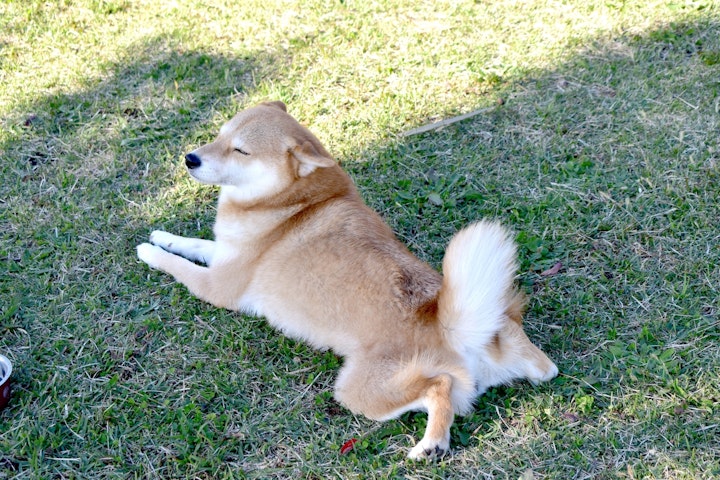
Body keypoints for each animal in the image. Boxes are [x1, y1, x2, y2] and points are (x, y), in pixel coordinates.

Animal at [138, 102, 560, 462]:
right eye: (219, 135)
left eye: (240, 151)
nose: (190, 158)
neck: (293, 202)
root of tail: (452, 327)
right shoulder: (225, 256)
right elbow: (193, 244)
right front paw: (163, 236)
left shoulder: (218, 286)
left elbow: (178, 266)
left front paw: (149, 251)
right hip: (514, 350)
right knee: (542, 367)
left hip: (360, 391)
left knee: (438, 386)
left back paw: (432, 443)